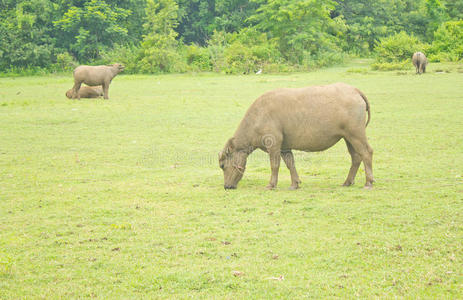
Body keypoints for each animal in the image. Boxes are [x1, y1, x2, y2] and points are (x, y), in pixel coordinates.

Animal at [219, 82, 376, 190]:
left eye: (222, 165)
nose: (226, 186)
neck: (258, 117)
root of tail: (354, 90)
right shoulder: (284, 147)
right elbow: (290, 163)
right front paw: (295, 183)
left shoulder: (273, 145)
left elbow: (274, 165)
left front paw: (271, 184)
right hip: (348, 137)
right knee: (356, 157)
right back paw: (347, 182)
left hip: (356, 134)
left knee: (366, 152)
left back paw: (368, 182)